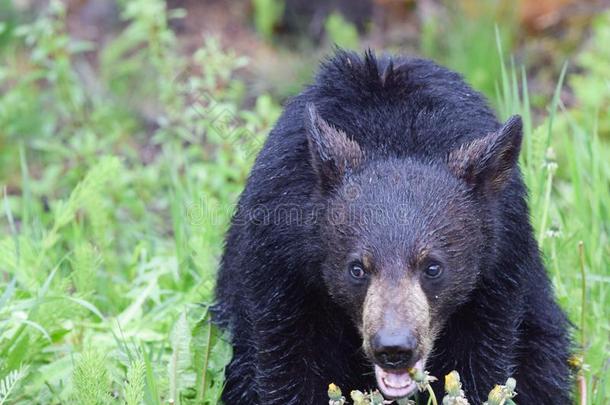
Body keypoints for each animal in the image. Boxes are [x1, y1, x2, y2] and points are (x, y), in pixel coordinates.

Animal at [211, 49, 568, 402]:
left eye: (433, 267)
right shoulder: (280, 264)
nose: (394, 348)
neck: (394, 138)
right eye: (356, 268)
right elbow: (288, 362)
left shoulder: (499, 271)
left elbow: (480, 363)